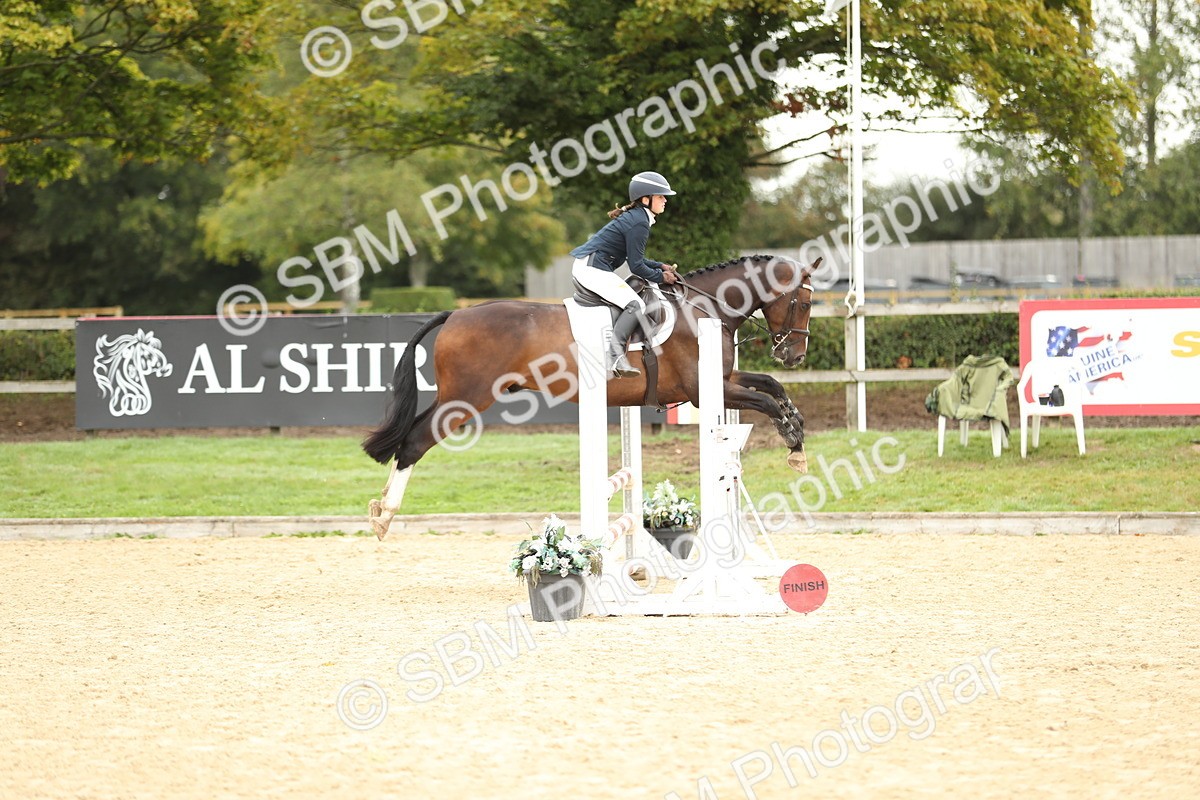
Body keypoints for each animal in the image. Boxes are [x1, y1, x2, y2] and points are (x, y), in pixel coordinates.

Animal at [362, 254, 818, 476]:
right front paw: (793, 443)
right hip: (465, 399)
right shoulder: (704, 392)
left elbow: (771, 385)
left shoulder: (723, 379)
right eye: (805, 302)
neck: (703, 307)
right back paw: (384, 518)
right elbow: (766, 401)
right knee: (413, 443)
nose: (793, 355)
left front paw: (796, 423)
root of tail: (455, 314)